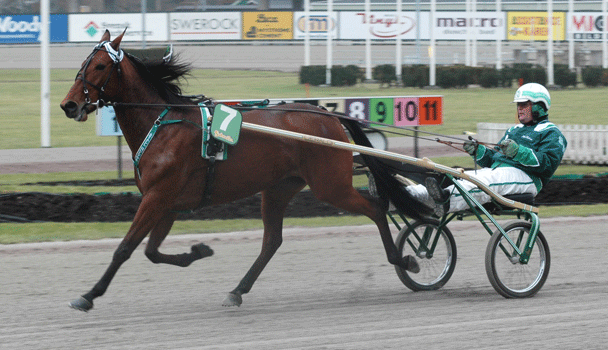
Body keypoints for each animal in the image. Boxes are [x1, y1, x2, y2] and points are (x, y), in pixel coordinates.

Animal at [59, 30, 426, 312]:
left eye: (100, 65)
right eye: (82, 65)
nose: (69, 105)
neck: (162, 123)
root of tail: (329, 116)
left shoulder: (158, 196)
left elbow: (126, 248)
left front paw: (89, 295)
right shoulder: (165, 201)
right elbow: (151, 251)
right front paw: (197, 251)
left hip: (330, 185)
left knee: (376, 208)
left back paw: (404, 260)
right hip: (279, 188)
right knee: (272, 240)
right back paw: (237, 291)